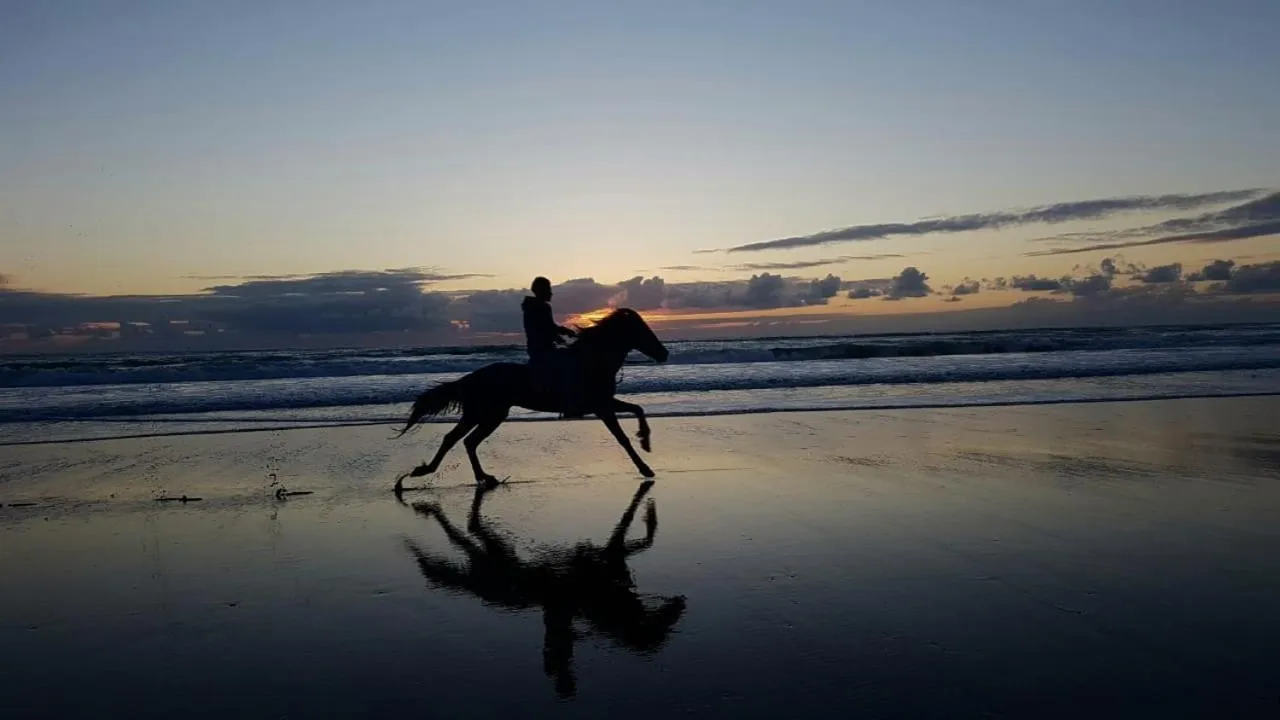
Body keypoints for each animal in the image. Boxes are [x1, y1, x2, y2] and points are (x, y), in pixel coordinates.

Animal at [394, 307, 669, 489]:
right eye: (641, 330)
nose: (664, 353)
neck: (592, 362)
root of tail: (469, 379)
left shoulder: (604, 403)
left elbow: (638, 409)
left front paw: (645, 441)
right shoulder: (601, 407)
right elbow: (622, 438)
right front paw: (645, 467)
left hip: (487, 415)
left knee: (465, 441)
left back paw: (482, 477)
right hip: (486, 414)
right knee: (458, 439)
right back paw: (432, 472)